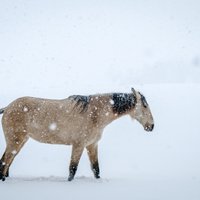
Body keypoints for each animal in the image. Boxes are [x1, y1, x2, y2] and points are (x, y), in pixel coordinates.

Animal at [0, 87, 155, 181]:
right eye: (145, 105)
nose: (151, 126)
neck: (95, 114)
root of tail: (8, 107)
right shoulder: (78, 145)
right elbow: (72, 169)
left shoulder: (92, 145)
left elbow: (96, 169)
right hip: (15, 141)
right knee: (5, 161)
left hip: (20, 141)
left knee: (7, 162)